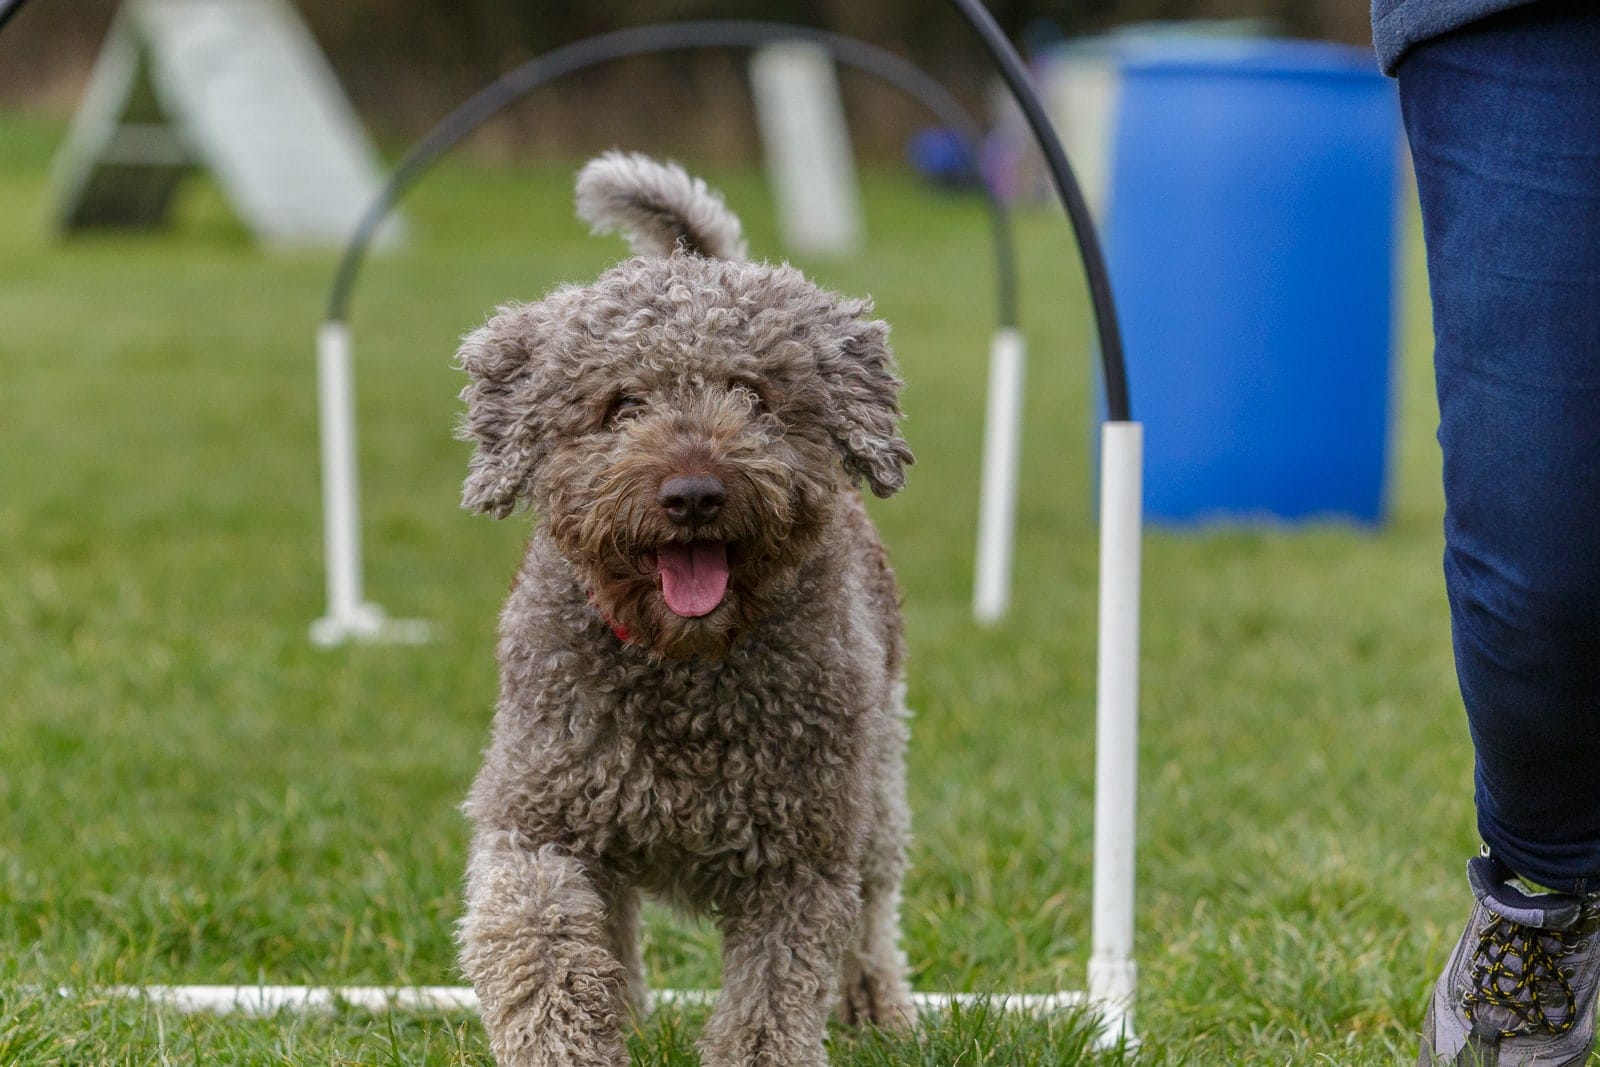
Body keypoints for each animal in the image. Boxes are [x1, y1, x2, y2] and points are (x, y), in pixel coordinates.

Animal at [457, 151, 921, 1067]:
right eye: (620, 403)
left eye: (756, 395)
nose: (696, 493)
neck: (684, 671)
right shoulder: (538, 813)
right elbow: (539, 936)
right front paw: (570, 1040)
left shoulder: (801, 855)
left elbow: (771, 1001)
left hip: (880, 780)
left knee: (874, 906)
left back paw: (880, 1007)